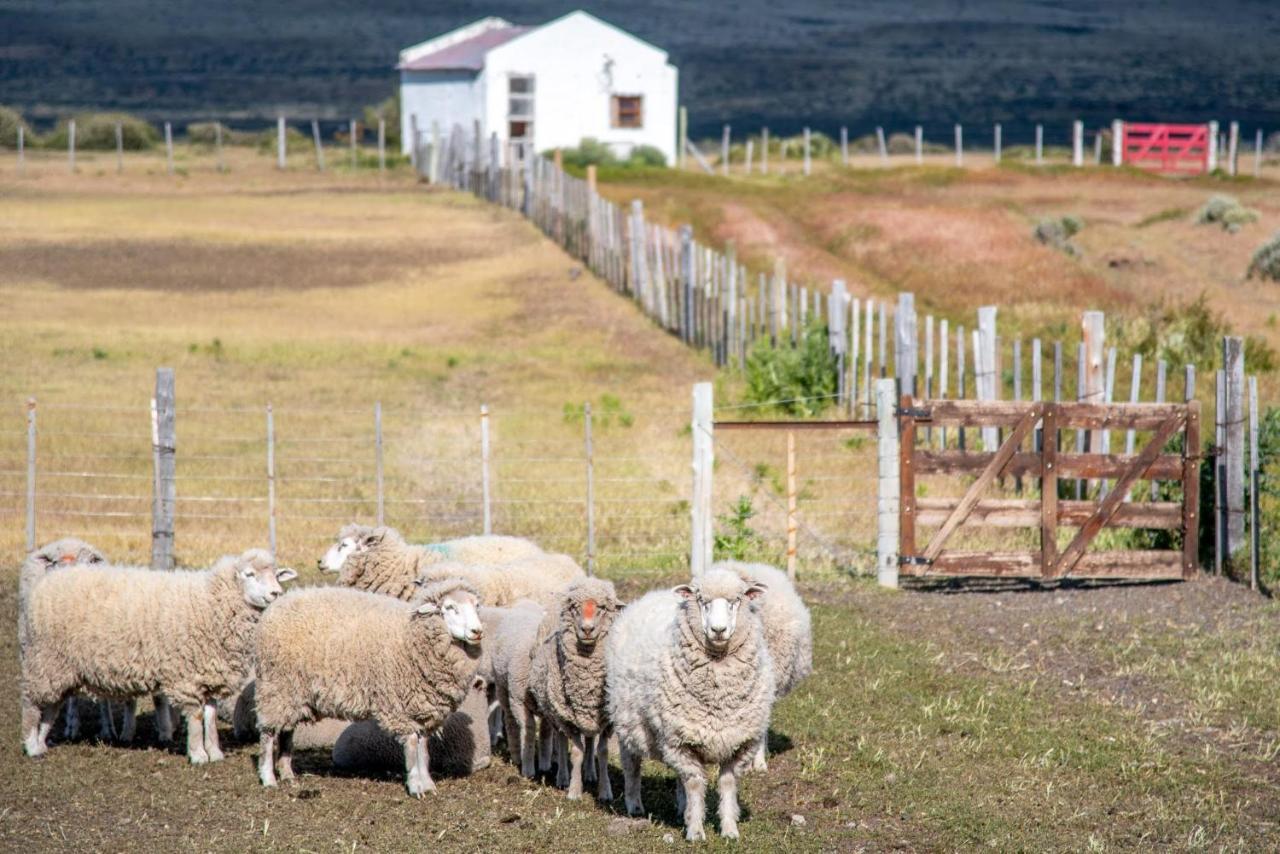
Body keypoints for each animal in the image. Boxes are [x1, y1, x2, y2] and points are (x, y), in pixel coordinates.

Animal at [23, 550, 294, 763]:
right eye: (249, 574)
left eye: (276, 574)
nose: (276, 593)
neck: (210, 603)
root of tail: (46, 583)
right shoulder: (187, 676)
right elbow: (196, 717)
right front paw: (198, 755)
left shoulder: (209, 674)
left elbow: (210, 717)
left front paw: (215, 752)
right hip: (45, 658)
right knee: (31, 703)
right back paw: (30, 745)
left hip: (61, 668)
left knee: (51, 707)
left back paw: (41, 744)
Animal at [252, 578, 481, 798]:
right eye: (450, 607)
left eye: (476, 605)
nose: (477, 631)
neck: (410, 634)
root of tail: (277, 604)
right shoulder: (399, 706)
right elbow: (411, 745)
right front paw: (416, 786)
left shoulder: (424, 710)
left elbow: (423, 749)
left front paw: (427, 784)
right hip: (276, 686)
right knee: (268, 734)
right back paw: (268, 778)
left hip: (294, 692)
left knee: (286, 730)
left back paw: (287, 774)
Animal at [527, 578, 622, 804]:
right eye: (574, 608)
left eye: (602, 608)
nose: (587, 629)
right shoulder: (568, 719)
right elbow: (576, 753)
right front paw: (574, 791)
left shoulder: (608, 720)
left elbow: (602, 752)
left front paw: (605, 791)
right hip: (555, 713)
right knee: (561, 741)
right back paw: (563, 777)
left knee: (589, 738)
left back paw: (590, 773)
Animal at [606, 568, 773, 839]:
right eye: (701, 600)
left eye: (736, 600)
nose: (718, 630)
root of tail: (654, 594)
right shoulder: (679, 742)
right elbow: (695, 783)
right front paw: (695, 831)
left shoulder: (739, 743)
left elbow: (727, 783)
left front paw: (729, 829)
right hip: (628, 720)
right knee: (632, 763)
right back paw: (634, 805)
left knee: (678, 777)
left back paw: (680, 807)